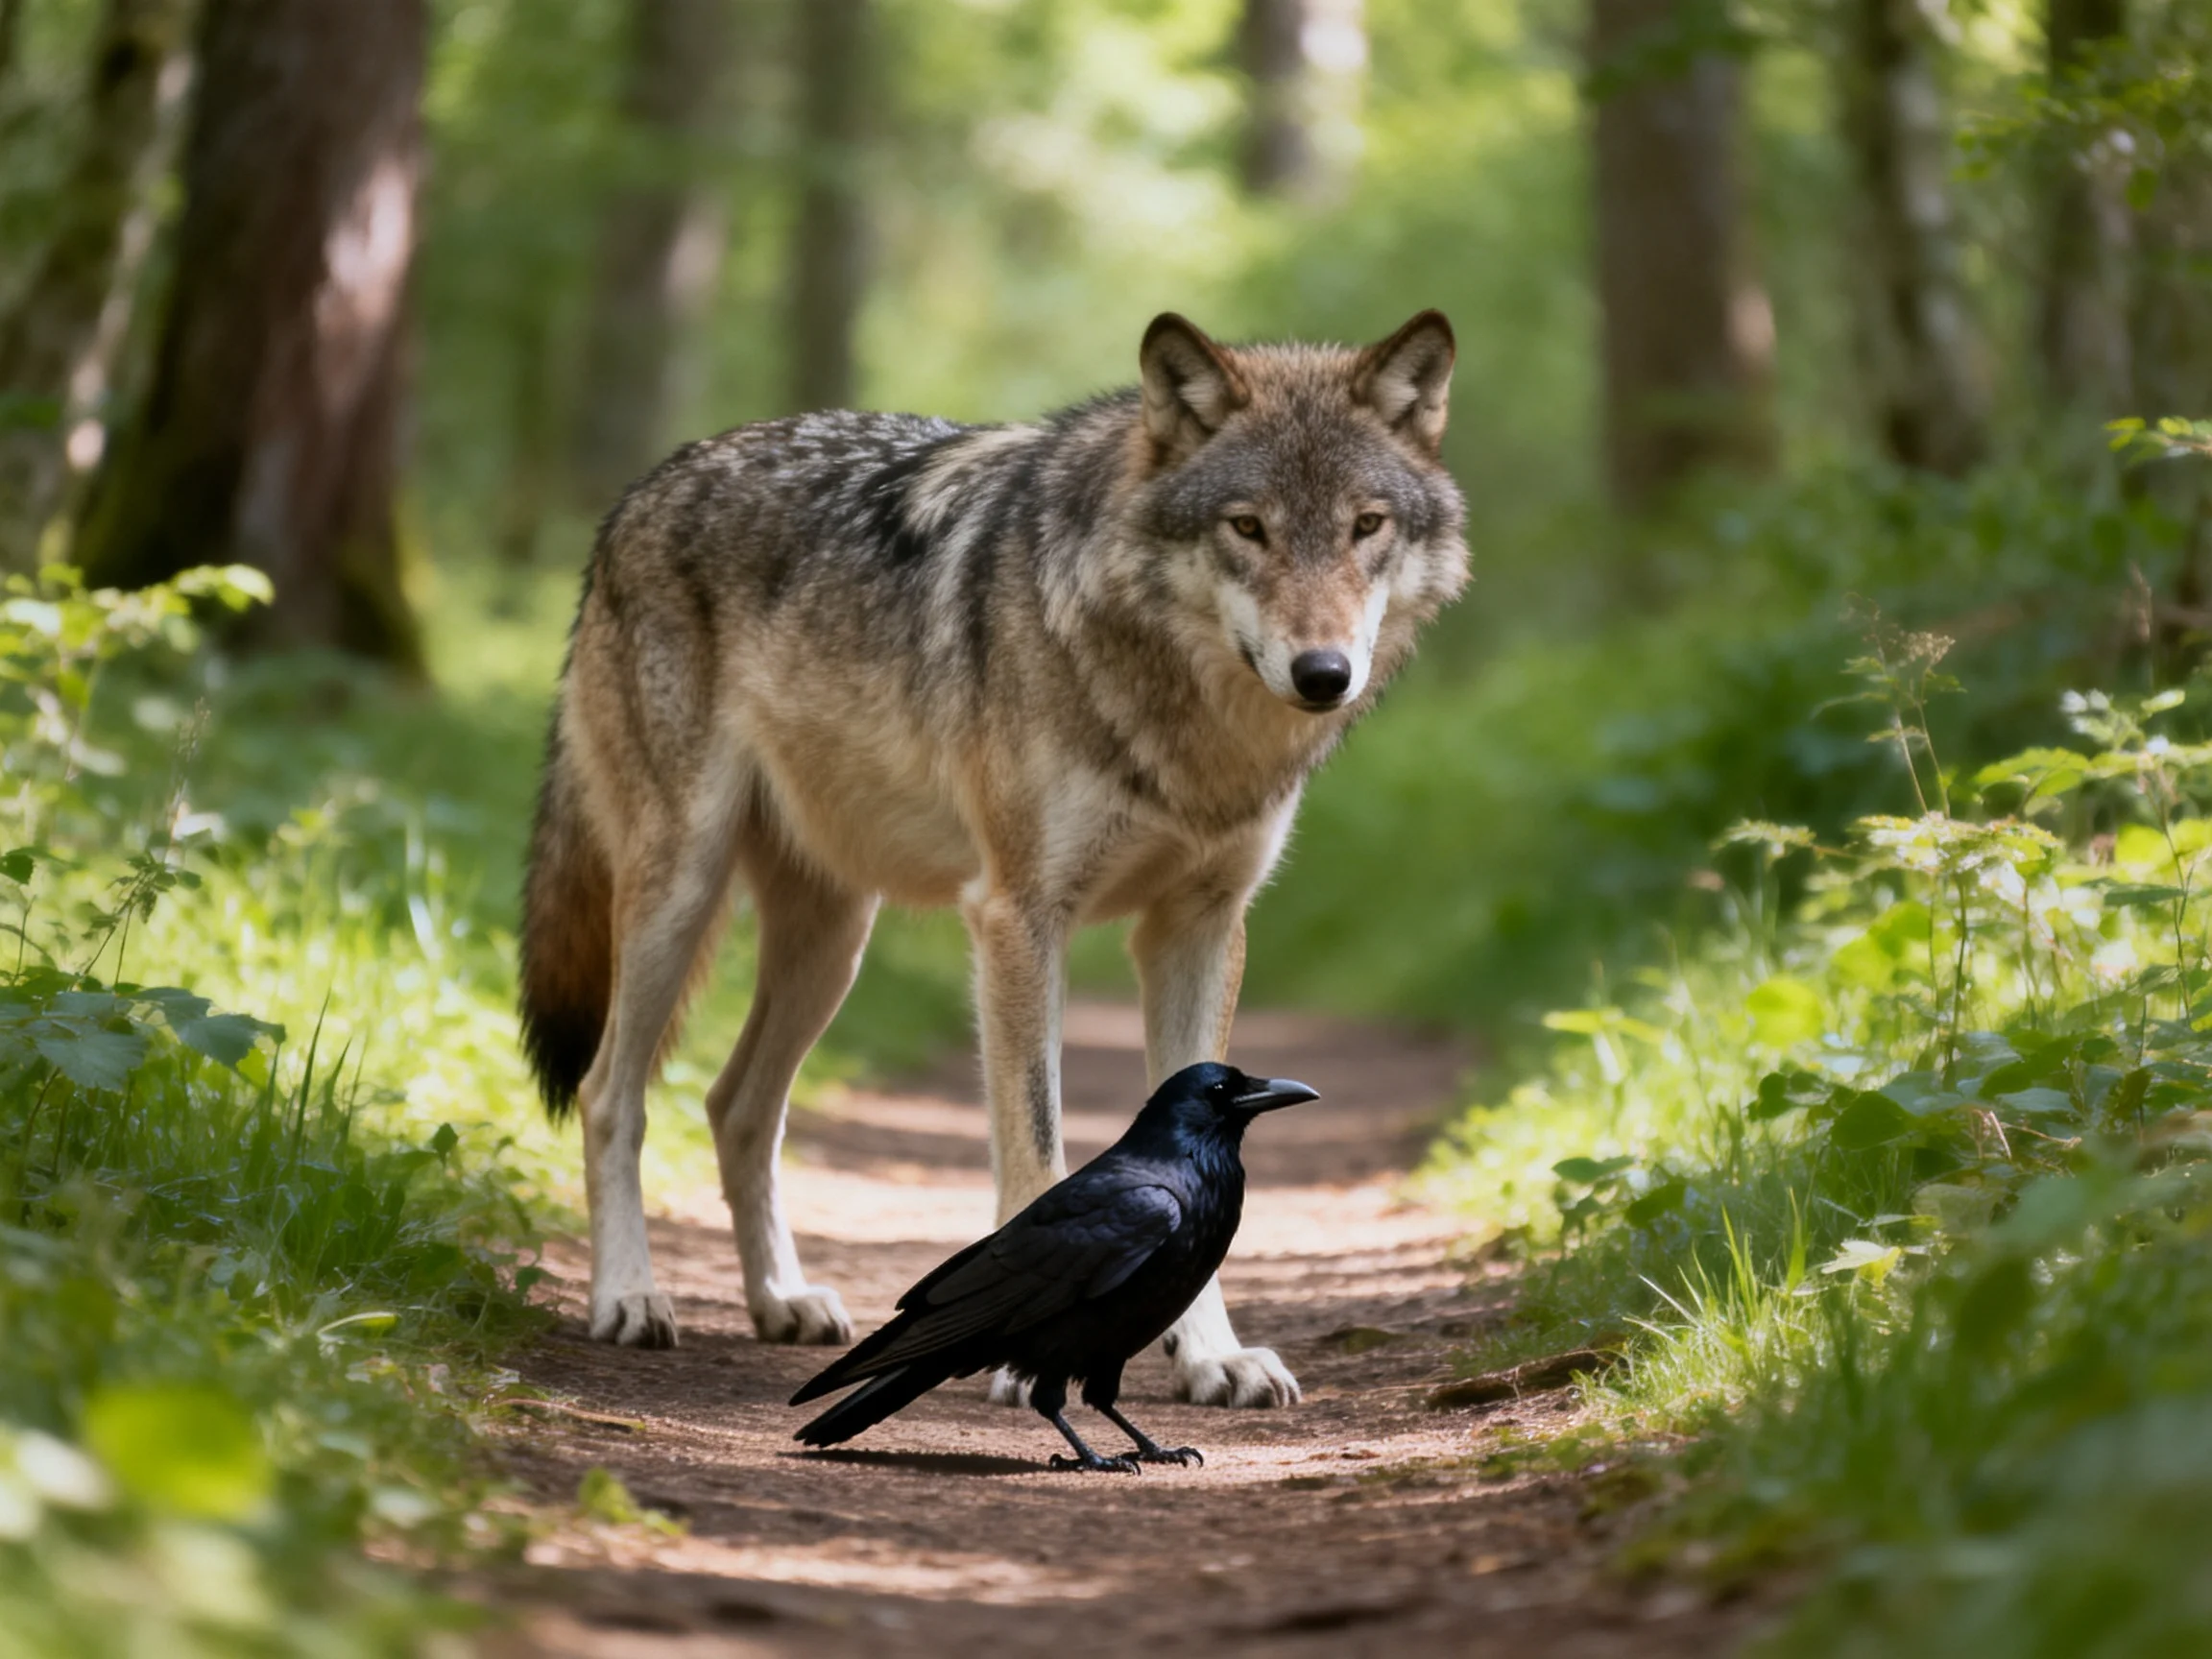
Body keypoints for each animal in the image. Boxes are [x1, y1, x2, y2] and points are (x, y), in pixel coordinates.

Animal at [518, 310, 1467, 1408]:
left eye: (1366, 526)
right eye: (1248, 527)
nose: (1324, 674)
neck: (1185, 730)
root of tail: (643, 489)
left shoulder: (1199, 928)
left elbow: (1190, 1149)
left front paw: (1213, 1356)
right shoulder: (1019, 917)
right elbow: (1040, 1146)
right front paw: (1027, 1357)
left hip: (832, 945)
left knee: (736, 1105)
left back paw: (782, 1301)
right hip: (678, 892)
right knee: (610, 1096)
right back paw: (629, 1298)